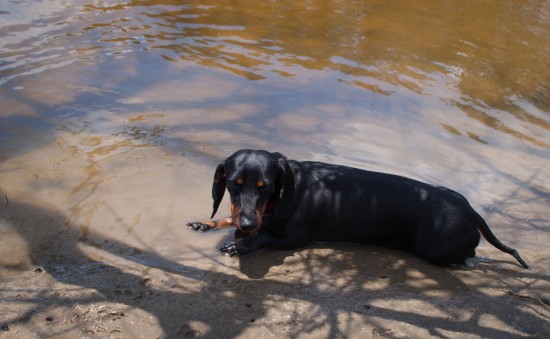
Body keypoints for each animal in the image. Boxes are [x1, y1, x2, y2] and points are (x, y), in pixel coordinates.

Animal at [189, 150, 532, 270]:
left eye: (266, 186)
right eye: (234, 184)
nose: (247, 223)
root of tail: (468, 208)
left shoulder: (293, 238)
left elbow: (263, 238)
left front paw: (238, 244)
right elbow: (228, 218)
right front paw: (208, 224)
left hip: (437, 248)